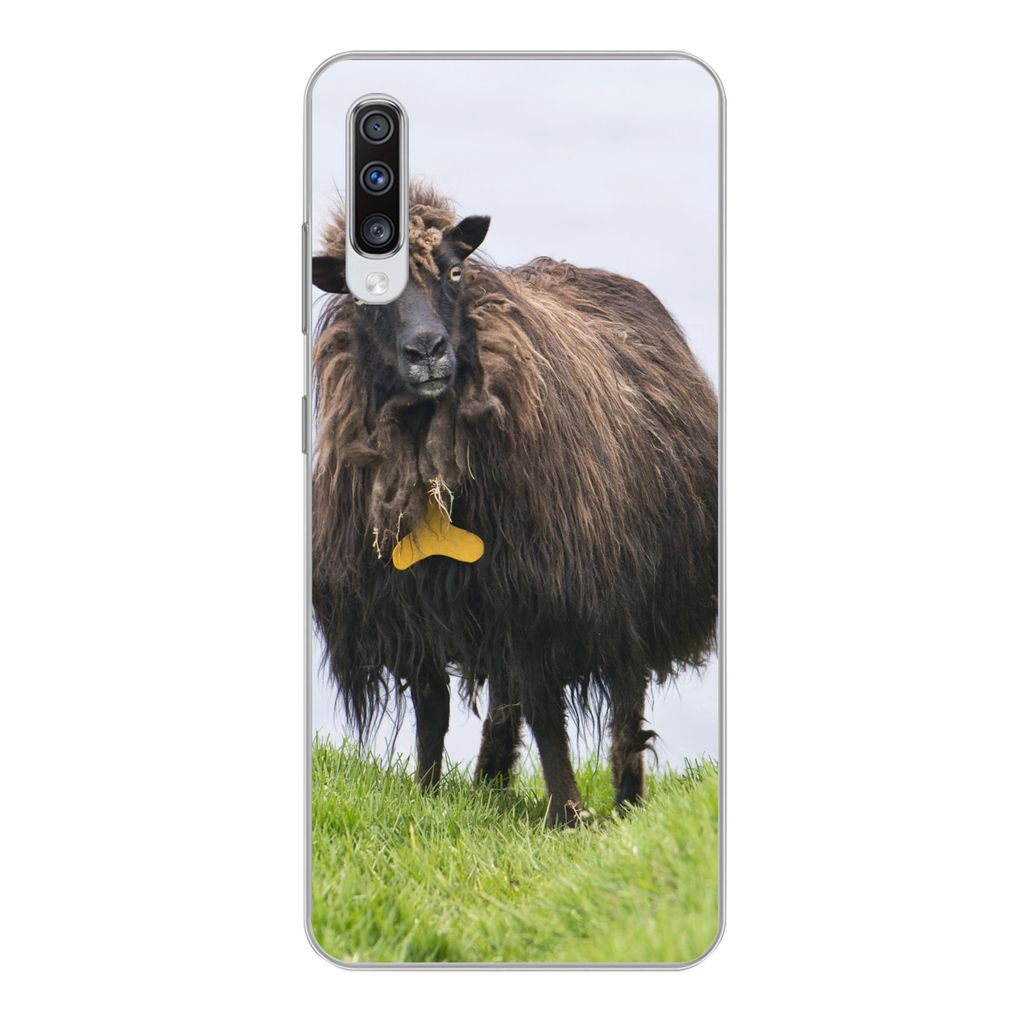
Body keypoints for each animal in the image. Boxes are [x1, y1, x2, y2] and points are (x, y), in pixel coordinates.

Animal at [312, 184, 718, 826]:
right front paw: (427, 797)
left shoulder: (544, 601)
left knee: (624, 707)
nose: (427, 351)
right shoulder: (414, 607)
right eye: (363, 293)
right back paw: (489, 782)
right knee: (506, 699)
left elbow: (549, 716)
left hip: (627, 587)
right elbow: (433, 712)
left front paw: (568, 816)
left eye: (455, 272)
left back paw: (626, 803)